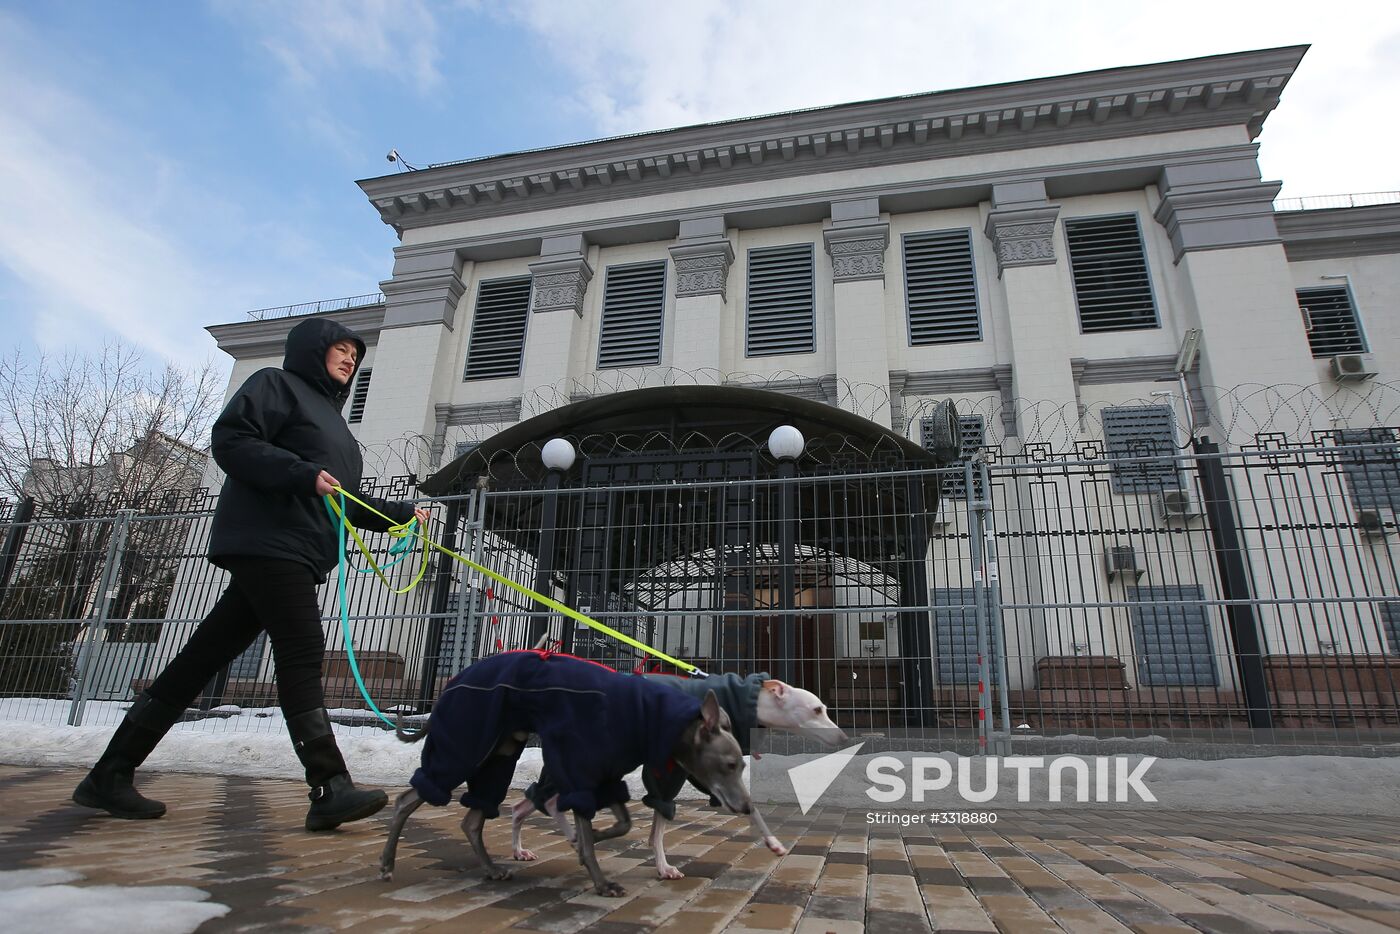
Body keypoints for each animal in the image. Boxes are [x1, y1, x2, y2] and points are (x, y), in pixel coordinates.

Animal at [380, 649, 756, 896]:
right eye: (730, 765)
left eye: (741, 765)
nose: (748, 808)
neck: (644, 714)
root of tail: (452, 682)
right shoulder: (580, 771)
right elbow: (591, 836)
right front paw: (600, 880)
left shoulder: (606, 778)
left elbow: (622, 824)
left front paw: (589, 839)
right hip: (464, 745)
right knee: (406, 800)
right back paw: (387, 864)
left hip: (498, 755)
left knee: (472, 820)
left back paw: (492, 869)